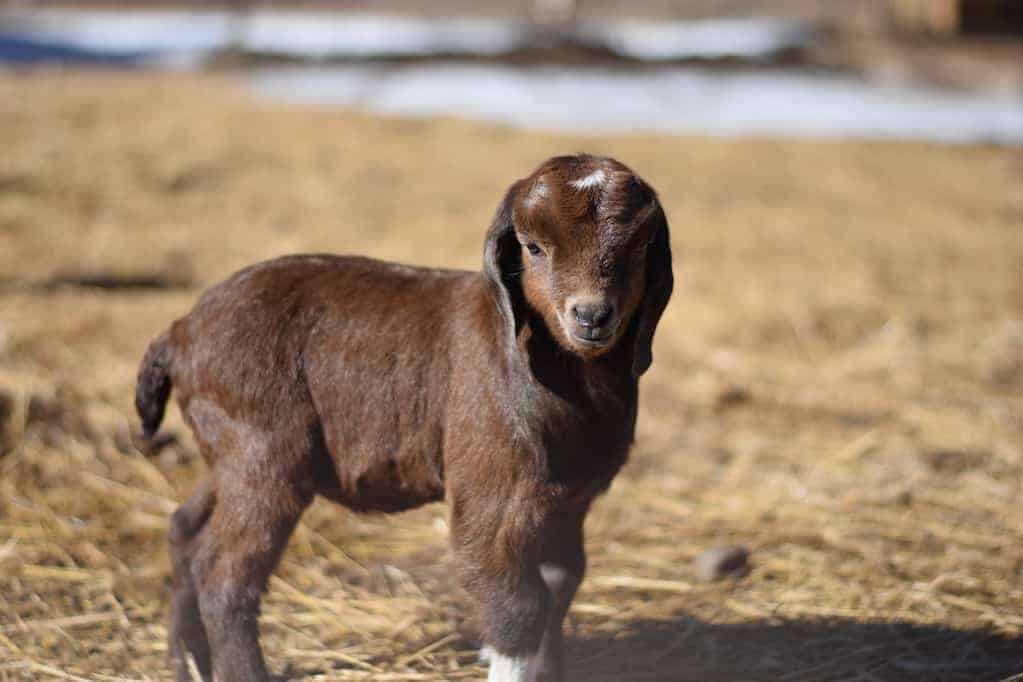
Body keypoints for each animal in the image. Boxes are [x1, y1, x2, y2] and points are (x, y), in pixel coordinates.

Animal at [138, 154, 679, 682]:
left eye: (640, 246)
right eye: (532, 247)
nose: (591, 315)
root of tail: (179, 335)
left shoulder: (569, 500)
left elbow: (562, 581)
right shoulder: (495, 484)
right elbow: (513, 598)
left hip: (228, 448)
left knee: (186, 530)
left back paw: (186, 662)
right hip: (262, 449)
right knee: (225, 574)